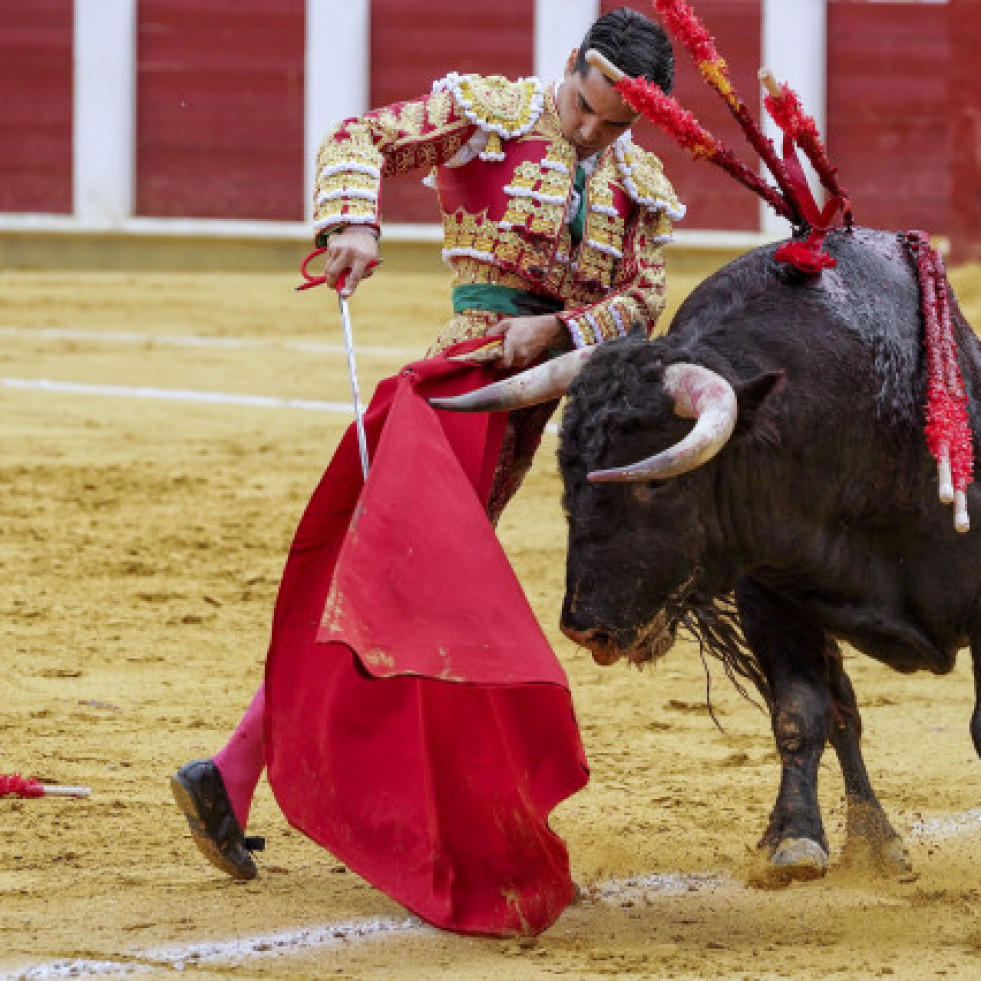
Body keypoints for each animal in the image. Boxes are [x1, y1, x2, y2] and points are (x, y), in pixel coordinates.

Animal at [432, 226, 980, 884]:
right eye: (566, 470)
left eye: (656, 481)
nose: (584, 628)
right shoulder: (770, 594)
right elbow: (801, 712)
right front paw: (796, 840)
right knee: (843, 708)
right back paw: (874, 841)